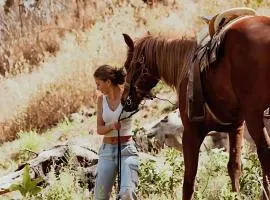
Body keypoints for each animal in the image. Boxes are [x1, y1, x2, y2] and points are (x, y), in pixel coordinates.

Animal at [121, 14, 270, 199]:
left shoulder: (191, 132)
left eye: (127, 66)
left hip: (254, 115)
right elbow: (234, 167)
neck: (185, 65)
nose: (124, 101)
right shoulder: (236, 127)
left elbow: (189, 178)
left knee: (265, 154)